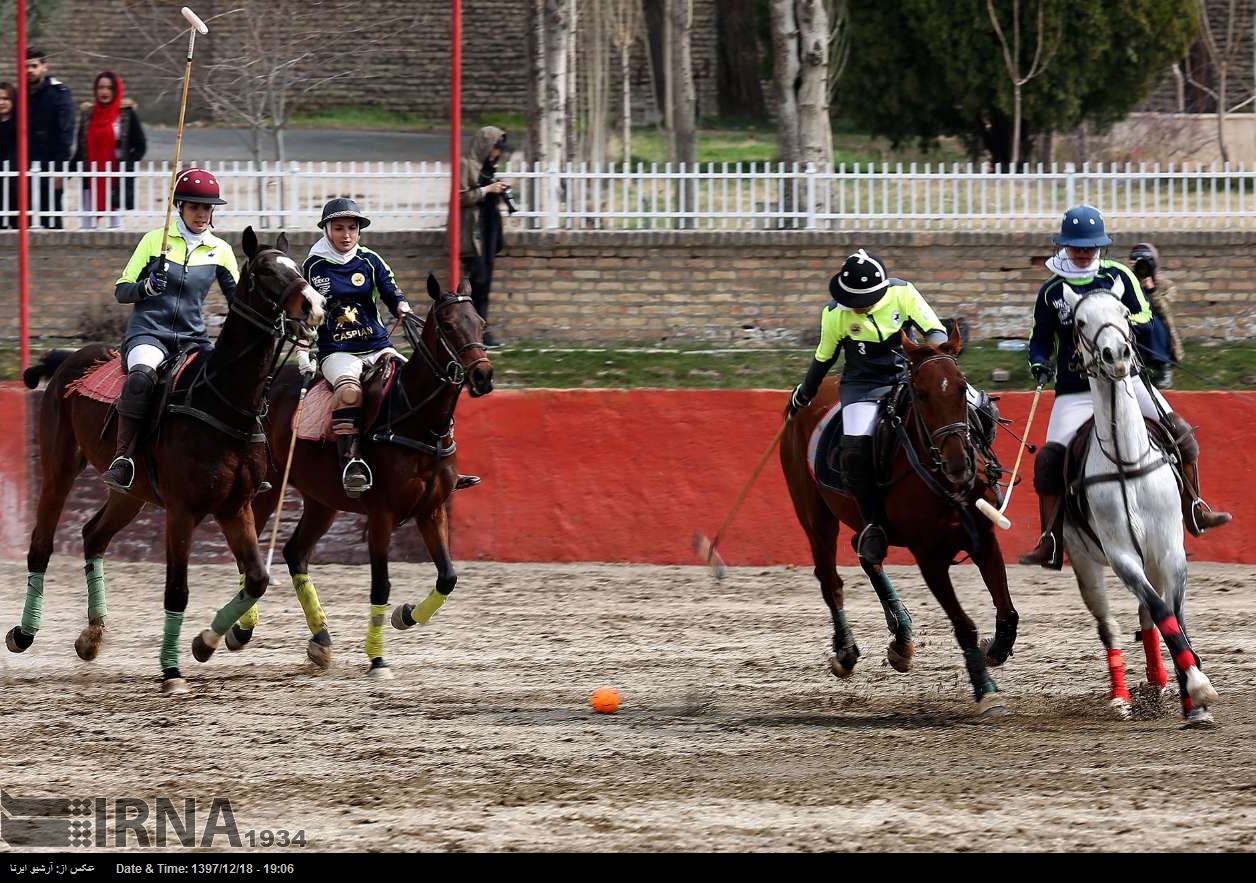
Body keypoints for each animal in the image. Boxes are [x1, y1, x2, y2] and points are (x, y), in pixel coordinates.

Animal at [7, 228, 326, 698]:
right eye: (267, 271)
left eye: (298, 267)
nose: (315, 306)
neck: (224, 400)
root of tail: (67, 356)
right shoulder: (182, 511)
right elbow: (177, 590)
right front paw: (172, 670)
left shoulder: (236, 507)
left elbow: (256, 578)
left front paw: (206, 642)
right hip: (59, 467)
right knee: (42, 543)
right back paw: (24, 632)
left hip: (131, 493)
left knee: (92, 534)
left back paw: (92, 635)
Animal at [226, 276, 489, 678]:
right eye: (447, 326)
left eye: (481, 323)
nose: (483, 376)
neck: (420, 421)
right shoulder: (382, 515)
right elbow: (381, 585)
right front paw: (378, 659)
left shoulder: (432, 510)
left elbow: (448, 577)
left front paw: (406, 616)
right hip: (266, 489)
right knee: (250, 554)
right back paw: (241, 630)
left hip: (321, 499)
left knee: (295, 552)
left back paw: (321, 640)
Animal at [783, 324, 1019, 718]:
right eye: (920, 395)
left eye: (961, 387)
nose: (959, 464)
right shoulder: (929, 558)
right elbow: (963, 624)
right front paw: (986, 689)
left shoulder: (984, 538)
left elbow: (1008, 611)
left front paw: (996, 649)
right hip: (814, 515)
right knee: (830, 579)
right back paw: (846, 652)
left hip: (865, 521)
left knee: (866, 552)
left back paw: (902, 639)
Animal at [1060, 286, 1215, 728]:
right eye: (1080, 321)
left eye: (1125, 312)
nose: (1116, 354)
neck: (1126, 462)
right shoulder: (1122, 557)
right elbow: (1162, 611)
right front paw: (1197, 686)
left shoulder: (1169, 548)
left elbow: (1173, 614)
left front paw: (1192, 699)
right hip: (1084, 561)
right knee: (1110, 625)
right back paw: (1121, 697)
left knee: (1148, 617)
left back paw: (1158, 683)